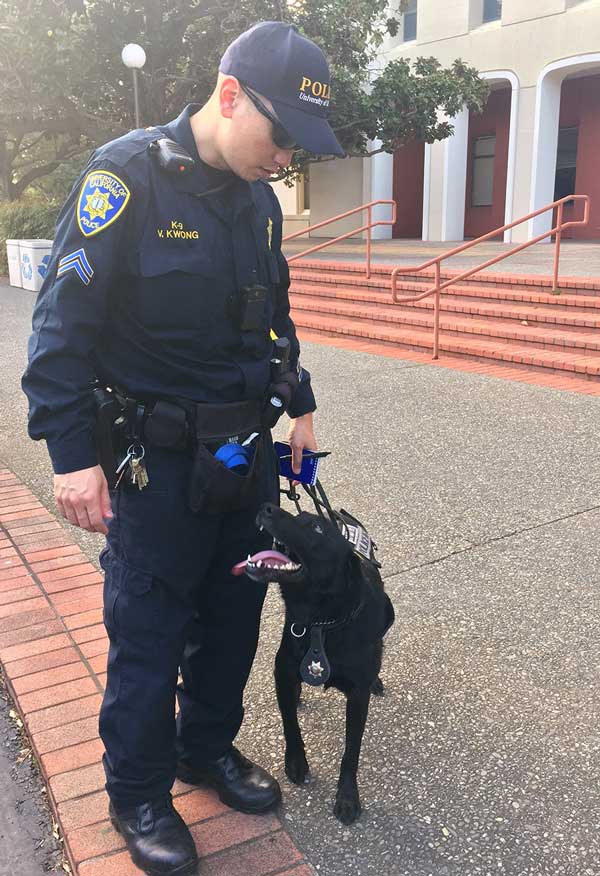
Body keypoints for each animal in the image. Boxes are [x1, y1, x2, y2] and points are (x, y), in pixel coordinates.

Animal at [233, 504, 394, 824]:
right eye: (298, 517)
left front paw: (347, 797)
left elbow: (351, 751)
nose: (267, 507)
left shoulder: (358, 696)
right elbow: (290, 724)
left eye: (317, 529)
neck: (323, 622)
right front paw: (296, 762)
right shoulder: (282, 671)